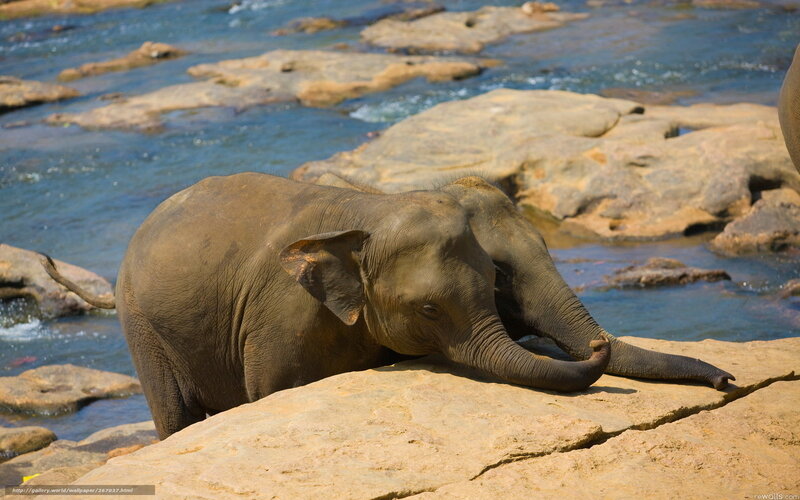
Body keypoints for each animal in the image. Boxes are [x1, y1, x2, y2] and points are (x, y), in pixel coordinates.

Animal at [43, 173, 733, 439]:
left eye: (494, 283)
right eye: (428, 310)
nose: (727, 380)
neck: (374, 203)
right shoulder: (279, 319)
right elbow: (272, 394)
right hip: (142, 326)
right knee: (175, 413)